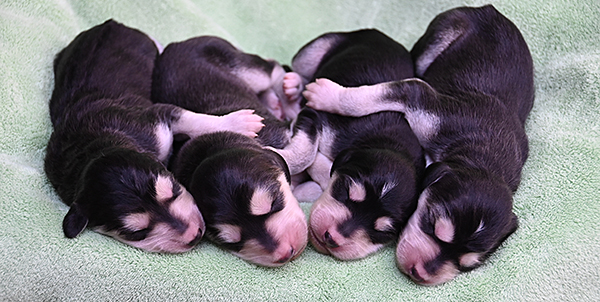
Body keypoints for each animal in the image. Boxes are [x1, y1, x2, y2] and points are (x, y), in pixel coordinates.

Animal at [42, 20, 262, 252]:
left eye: (173, 190)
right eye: (137, 233)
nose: (195, 235)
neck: (92, 147)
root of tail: (108, 22)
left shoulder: (155, 118)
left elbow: (192, 119)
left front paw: (240, 122)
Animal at [150, 36, 310, 266]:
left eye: (272, 203)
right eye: (232, 241)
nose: (285, 253)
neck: (208, 148)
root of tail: (178, 43)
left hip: (245, 68)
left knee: (272, 68)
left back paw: (289, 90)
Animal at [270, 28, 424, 260]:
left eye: (384, 231)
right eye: (346, 190)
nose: (332, 238)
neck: (391, 143)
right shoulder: (314, 116)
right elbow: (307, 152)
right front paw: (280, 156)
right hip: (314, 51)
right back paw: (292, 86)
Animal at [304, 4, 536, 286]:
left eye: (468, 264)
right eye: (433, 225)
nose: (422, 273)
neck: (485, 158)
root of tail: (490, 9)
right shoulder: (426, 105)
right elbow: (373, 96)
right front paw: (326, 94)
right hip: (437, 38)